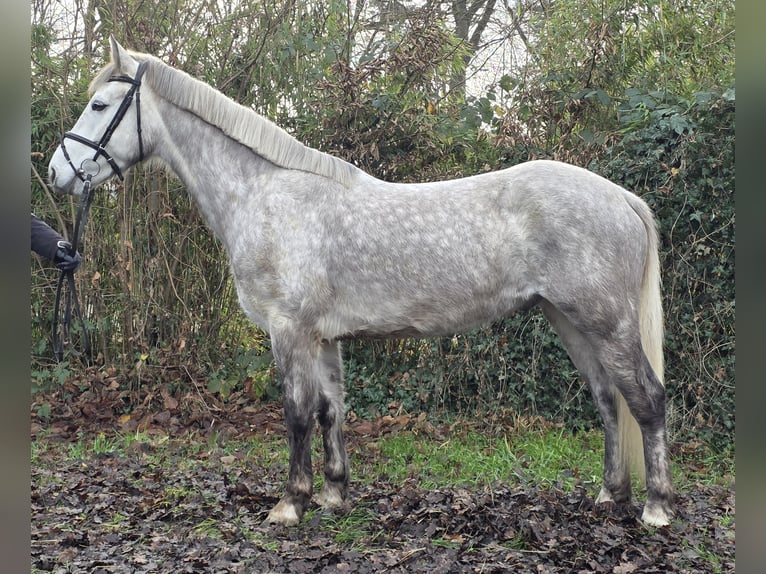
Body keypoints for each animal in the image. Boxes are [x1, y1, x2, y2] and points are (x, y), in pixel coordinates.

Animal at [48, 37, 673, 528]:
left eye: (100, 103)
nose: (58, 172)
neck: (265, 193)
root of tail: (621, 197)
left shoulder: (289, 330)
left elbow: (297, 411)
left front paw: (290, 504)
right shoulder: (323, 337)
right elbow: (330, 411)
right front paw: (332, 494)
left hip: (606, 322)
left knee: (646, 397)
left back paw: (657, 507)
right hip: (567, 320)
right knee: (607, 397)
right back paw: (610, 495)